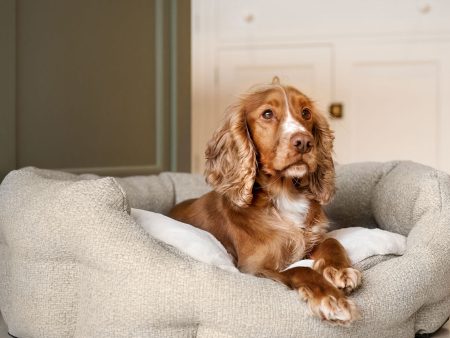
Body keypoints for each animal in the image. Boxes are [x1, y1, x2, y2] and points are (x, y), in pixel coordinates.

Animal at [169, 78, 362, 326]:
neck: (284, 193)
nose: (304, 142)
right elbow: (298, 271)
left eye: (306, 112)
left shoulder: (311, 241)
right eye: (267, 114)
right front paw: (331, 299)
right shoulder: (253, 268)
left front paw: (340, 270)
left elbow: (331, 241)